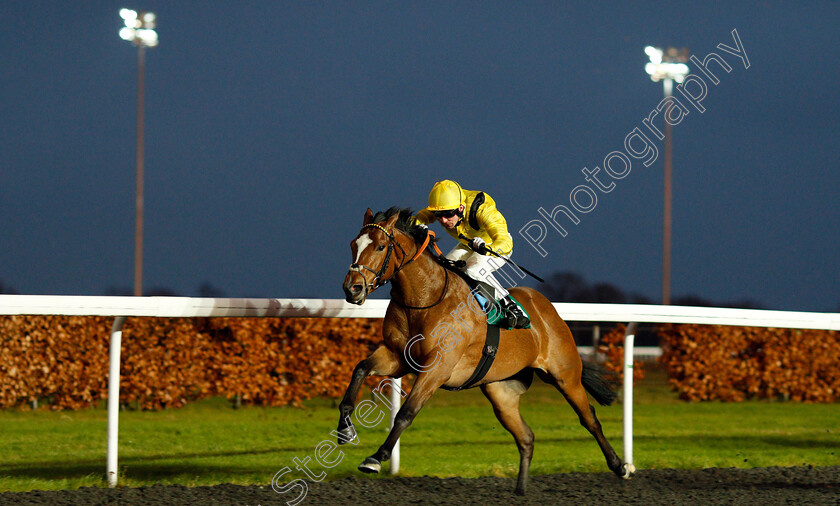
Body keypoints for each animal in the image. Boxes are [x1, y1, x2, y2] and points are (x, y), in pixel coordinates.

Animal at [338, 208, 632, 496]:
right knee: (526, 437)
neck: (424, 298)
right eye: (353, 244)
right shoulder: (397, 356)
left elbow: (406, 413)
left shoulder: (437, 368)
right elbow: (360, 369)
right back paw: (520, 489)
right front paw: (345, 428)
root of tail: (546, 308)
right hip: (501, 392)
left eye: (380, 246)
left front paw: (376, 457)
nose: (352, 288)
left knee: (589, 419)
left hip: (564, 375)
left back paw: (621, 467)